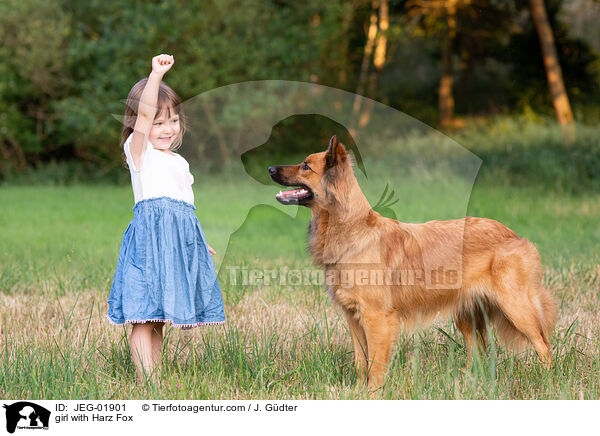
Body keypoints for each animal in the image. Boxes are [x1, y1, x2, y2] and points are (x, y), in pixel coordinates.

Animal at [268, 135, 556, 390]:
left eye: (306, 166)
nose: (270, 168)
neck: (350, 228)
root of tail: (513, 234)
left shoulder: (377, 318)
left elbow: (375, 365)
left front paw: (373, 394)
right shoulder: (353, 318)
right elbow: (361, 362)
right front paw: (358, 393)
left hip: (516, 308)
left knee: (543, 345)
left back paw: (548, 383)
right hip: (467, 316)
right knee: (480, 355)